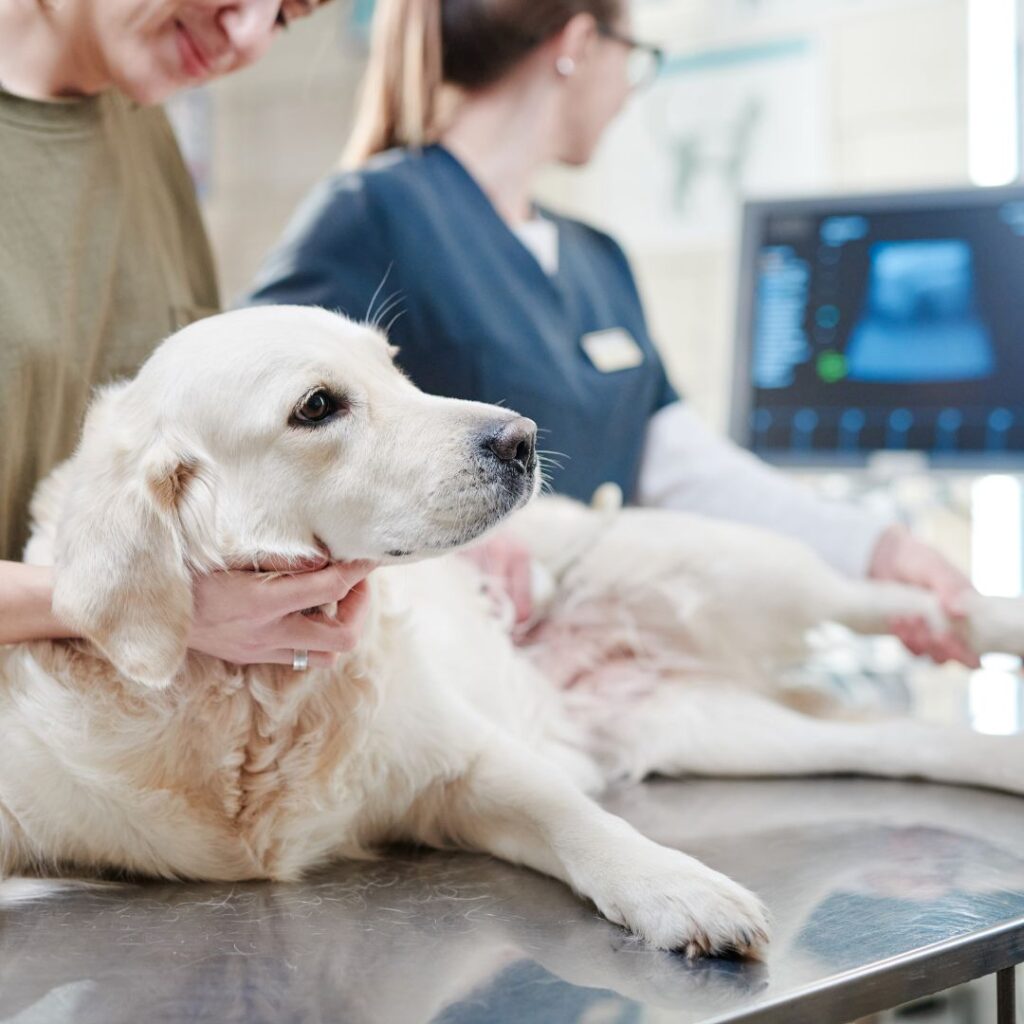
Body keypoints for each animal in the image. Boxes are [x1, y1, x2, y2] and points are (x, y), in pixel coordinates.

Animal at [6, 305, 1024, 958]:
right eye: (318, 406)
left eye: (394, 365)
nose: (520, 438)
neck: (256, 699)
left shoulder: (467, 763)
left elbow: (581, 820)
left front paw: (677, 887)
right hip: (724, 731)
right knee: (905, 741)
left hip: (734, 565)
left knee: (885, 599)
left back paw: (979, 612)